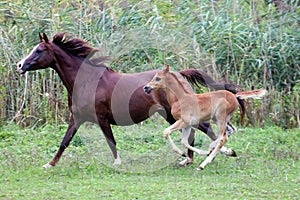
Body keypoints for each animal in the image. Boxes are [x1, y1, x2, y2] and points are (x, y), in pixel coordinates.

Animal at [16, 32, 243, 167]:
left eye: (39, 50)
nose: (19, 65)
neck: (88, 81)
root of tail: (179, 73)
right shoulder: (77, 118)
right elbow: (65, 141)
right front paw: (50, 164)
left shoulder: (101, 118)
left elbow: (111, 141)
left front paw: (117, 163)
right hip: (171, 115)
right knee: (195, 133)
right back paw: (189, 159)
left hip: (176, 114)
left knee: (207, 129)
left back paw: (220, 153)